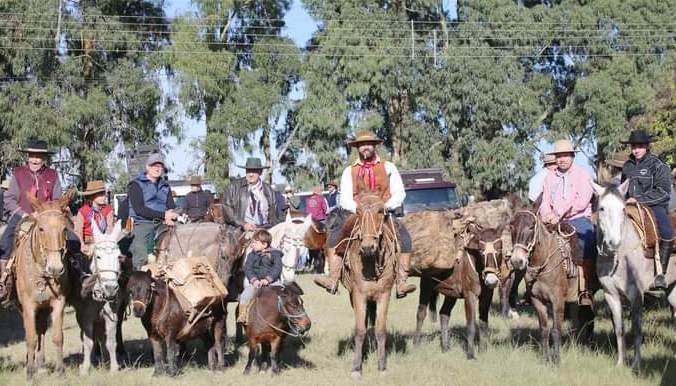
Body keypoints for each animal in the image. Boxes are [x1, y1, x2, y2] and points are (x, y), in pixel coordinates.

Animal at [13, 191, 73, 378]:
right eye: (41, 229)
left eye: (64, 229)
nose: (55, 268)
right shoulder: (28, 305)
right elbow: (30, 338)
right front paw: (30, 373)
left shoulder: (58, 302)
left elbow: (58, 336)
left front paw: (61, 371)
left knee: (41, 330)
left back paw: (40, 363)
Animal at [336, 188, 398, 378]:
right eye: (357, 211)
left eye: (380, 211)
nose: (368, 246)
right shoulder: (358, 295)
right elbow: (360, 330)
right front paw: (357, 367)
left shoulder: (384, 295)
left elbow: (380, 330)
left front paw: (382, 366)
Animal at [414, 223, 504, 358]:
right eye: (481, 251)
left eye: (500, 250)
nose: (491, 281)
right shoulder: (469, 296)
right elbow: (471, 324)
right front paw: (471, 354)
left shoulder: (487, 296)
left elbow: (483, 323)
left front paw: (483, 351)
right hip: (426, 287)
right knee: (421, 313)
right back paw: (416, 344)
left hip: (451, 294)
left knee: (444, 314)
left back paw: (445, 347)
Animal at [592, 181, 676, 370]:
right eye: (602, 208)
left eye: (623, 209)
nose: (613, 243)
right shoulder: (611, 295)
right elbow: (619, 329)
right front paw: (620, 363)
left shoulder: (636, 294)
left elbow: (637, 329)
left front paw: (636, 364)